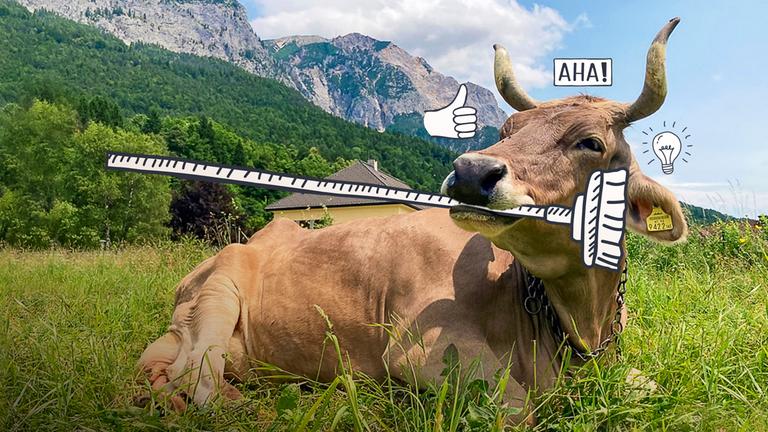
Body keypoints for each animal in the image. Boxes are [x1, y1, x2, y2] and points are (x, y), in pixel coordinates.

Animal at [137, 18, 687, 424]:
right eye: (507, 130)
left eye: (590, 142)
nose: (470, 172)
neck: (579, 328)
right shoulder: (424, 352)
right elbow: (519, 409)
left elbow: (654, 385)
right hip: (217, 296)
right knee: (198, 384)